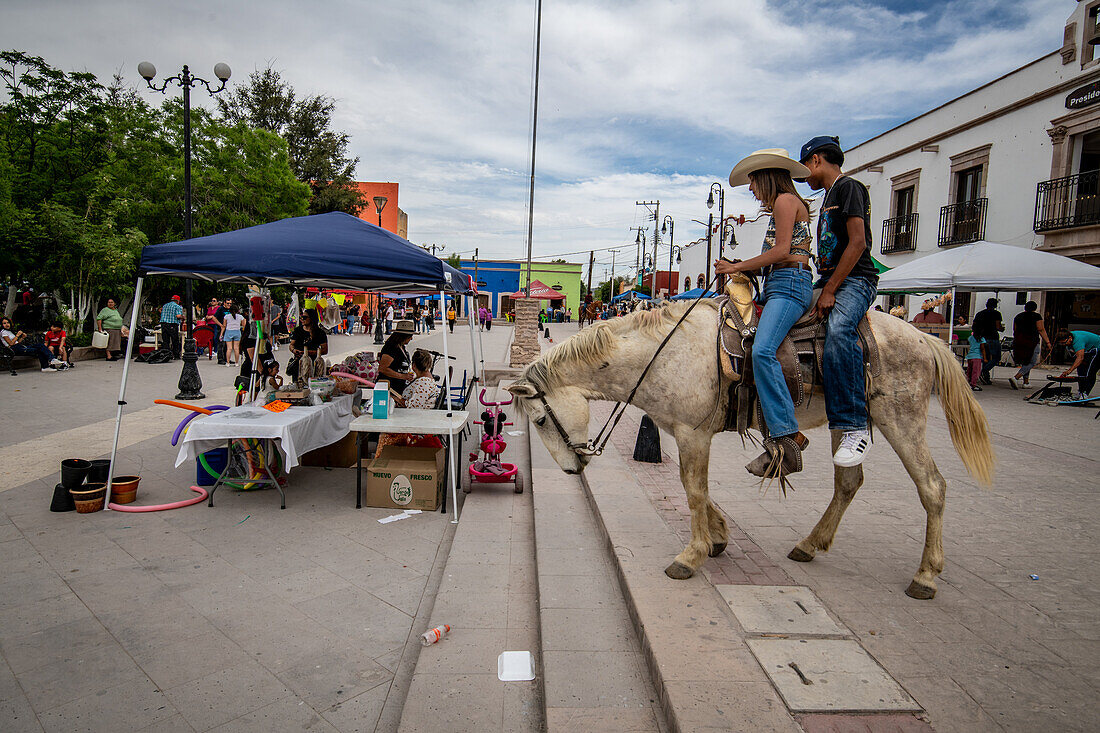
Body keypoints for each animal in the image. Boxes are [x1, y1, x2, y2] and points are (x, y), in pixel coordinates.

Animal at [508, 299, 998, 598]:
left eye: (539, 420)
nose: (572, 469)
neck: (664, 353)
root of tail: (924, 338)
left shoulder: (692, 433)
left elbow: (693, 490)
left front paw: (691, 556)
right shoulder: (685, 434)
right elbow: (699, 490)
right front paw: (719, 536)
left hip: (902, 421)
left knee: (932, 487)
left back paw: (925, 575)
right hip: (848, 421)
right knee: (849, 482)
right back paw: (809, 544)